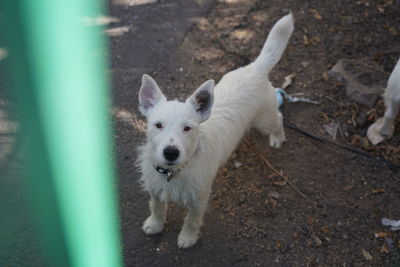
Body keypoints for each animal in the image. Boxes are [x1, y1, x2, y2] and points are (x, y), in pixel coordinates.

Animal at [137, 13, 294, 249]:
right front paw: (155, 224)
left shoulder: (199, 199)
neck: (176, 171)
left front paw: (187, 237)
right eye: (158, 125)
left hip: (265, 119)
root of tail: (255, 68)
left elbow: (192, 220)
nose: (171, 153)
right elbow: (156, 206)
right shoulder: (155, 188)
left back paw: (277, 137)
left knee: (279, 118)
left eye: (188, 128)